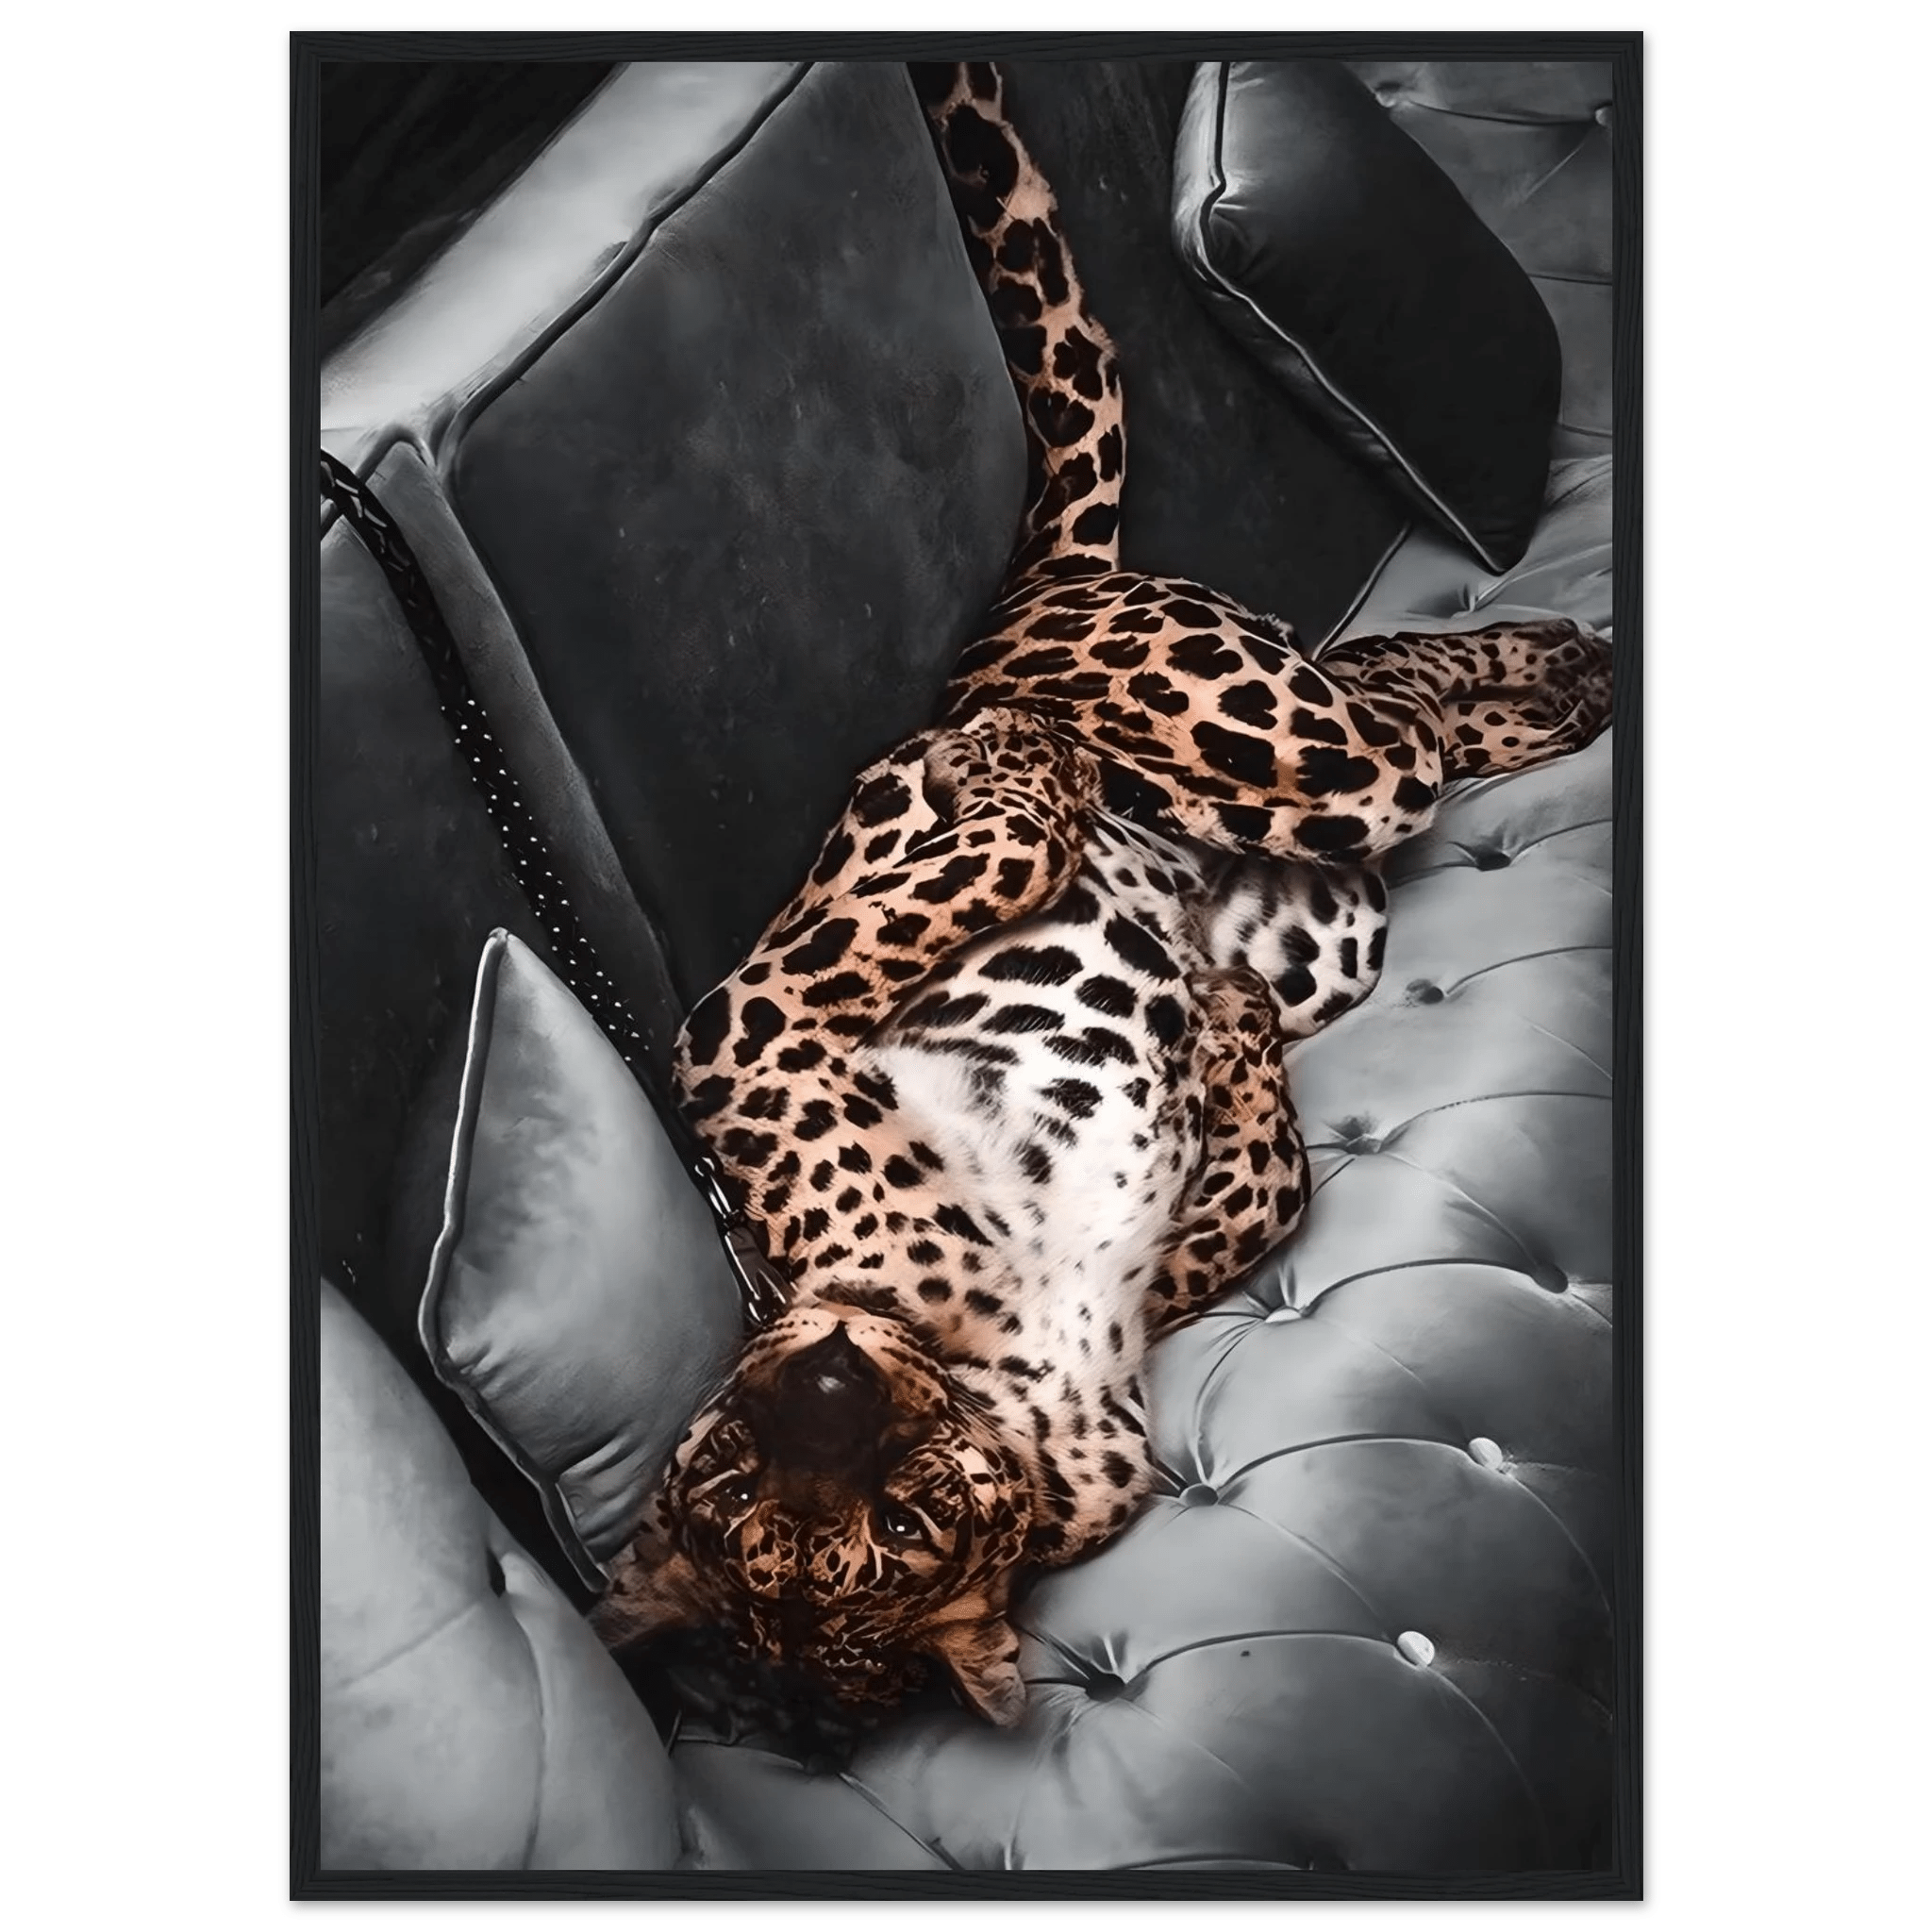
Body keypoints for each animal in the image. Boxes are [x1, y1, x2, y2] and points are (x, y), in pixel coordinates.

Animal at [592, 60, 1612, 1728]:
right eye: (770, 1507)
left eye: (737, 1478)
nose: (823, 1373)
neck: (992, 1375)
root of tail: (1028, 598)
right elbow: (1266, 1183)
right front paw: (1221, 1039)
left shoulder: (746, 1031)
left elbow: (980, 866)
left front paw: (1015, 787)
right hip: (1316, 877)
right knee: (1405, 713)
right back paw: (1556, 687)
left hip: (1261, 733)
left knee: (1384, 693)